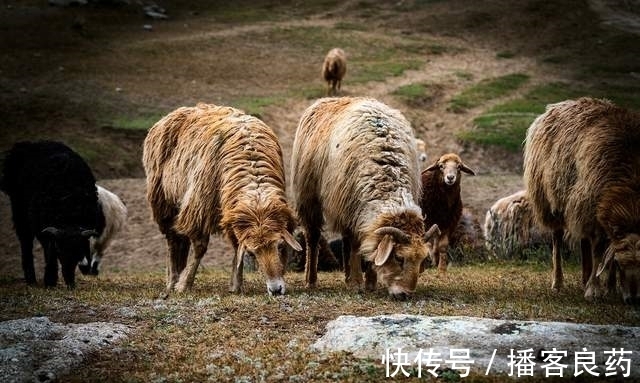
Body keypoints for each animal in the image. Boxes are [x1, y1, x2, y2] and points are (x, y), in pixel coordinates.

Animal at [0, 141, 104, 288]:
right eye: (60, 251)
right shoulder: (42, 226)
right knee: (26, 241)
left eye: (77, 252)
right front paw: (50, 280)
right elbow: (50, 252)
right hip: (20, 212)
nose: (70, 283)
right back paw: (31, 279)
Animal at [143, 103, 302, 298]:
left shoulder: (233, 214)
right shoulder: (198, 210)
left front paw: (235, 284)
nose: (276, 289)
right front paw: (184, 284)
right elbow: (201, 247)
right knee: (172, 242)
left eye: (280, 246)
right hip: (163, 202)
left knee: (180, 242)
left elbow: (236, 246)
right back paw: (173, 280)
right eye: (252, 254)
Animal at [292, 97, 438, 302]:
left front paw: (369, 282)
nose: (404, 295)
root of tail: (329, 99)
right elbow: (355, 245)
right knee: (313, 238)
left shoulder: (361, 213)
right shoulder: (349, 206)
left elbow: (371, 245)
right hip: (309, 196)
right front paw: (357, 282)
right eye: (399, 258)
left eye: (423, 260)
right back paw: (312, 280)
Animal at [524, 97, 640, 304]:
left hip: (579, 206)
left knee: (585, 242)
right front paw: (594, 290)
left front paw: (610, 288)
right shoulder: (594, 210)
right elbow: (599, 251)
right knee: (557, 240)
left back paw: (585, 279)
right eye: (620, 264)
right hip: (553, 203)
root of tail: (562, 104)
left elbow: (603, 252)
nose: (634, 300)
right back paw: (558, 282)